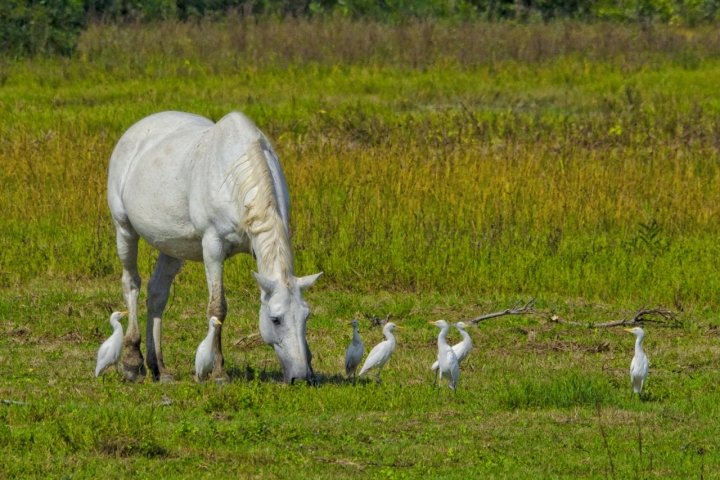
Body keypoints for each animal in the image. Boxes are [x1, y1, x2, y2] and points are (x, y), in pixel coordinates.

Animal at [107, 110, 320, 384]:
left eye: (306, 316)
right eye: (276, 319)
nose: (300, 376)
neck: (234, 177)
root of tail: (135, 131)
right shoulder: (213, 247)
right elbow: (218, 307)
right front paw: (219, 372)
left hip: (172, 246)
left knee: (157, 294)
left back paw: (159, 368)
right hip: (124, 229)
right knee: (131, 283)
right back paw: (132, 361)